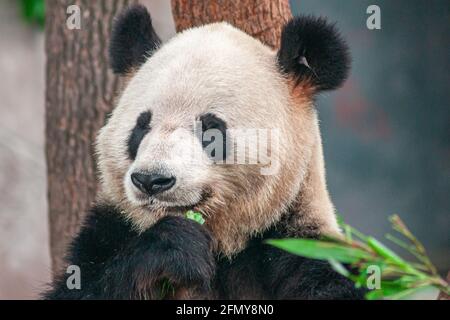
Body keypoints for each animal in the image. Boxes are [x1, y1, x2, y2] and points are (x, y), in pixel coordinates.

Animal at [44, 4, 364, 300]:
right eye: (141, 126)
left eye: (211, 130)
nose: (151, 180)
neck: (224, 243)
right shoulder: (108, 233)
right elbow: (83, 286)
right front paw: (174, 247)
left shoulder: (301, 246)